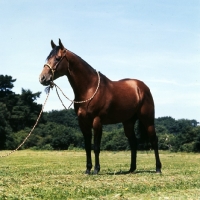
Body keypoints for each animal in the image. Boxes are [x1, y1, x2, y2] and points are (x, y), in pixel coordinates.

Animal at [38, 38, 161, 173]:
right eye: (48, 58)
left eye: (58, 58)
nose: (42, 78)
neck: (89, 89)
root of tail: (142, 87)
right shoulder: (83, 123)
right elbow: (87, 147)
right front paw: (88, 170)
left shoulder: (97, 121)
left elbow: (96, 147)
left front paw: (96, 169)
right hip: (128, 122)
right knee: (133, 142)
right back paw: (131, 169)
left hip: (147, 119)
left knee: (154, 140)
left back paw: (158, 168)